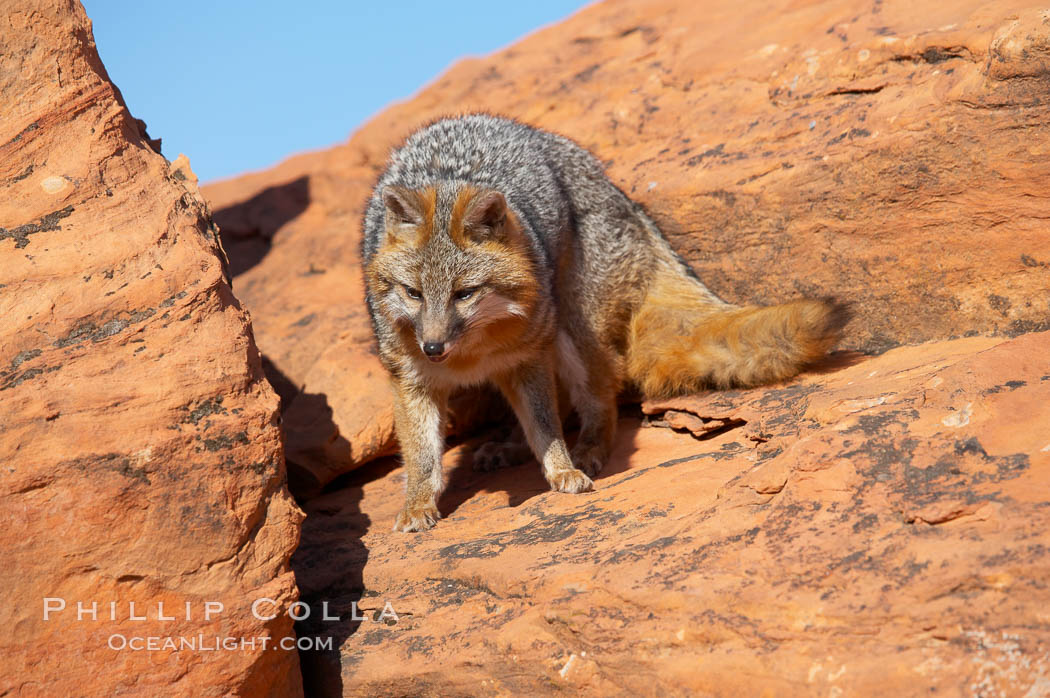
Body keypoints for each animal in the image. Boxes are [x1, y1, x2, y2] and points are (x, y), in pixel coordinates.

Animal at [361, 114, 844, 531]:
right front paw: (418, 506)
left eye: (464, 293)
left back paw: (587, 450)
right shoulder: (412, 380)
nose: (433, 348)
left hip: (571, 329)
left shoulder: (526, 357)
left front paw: (562, 471)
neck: (470, 356)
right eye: (414, 293)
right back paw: (512, 446)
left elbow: (547, 428)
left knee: (602, 396)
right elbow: (422, 457)